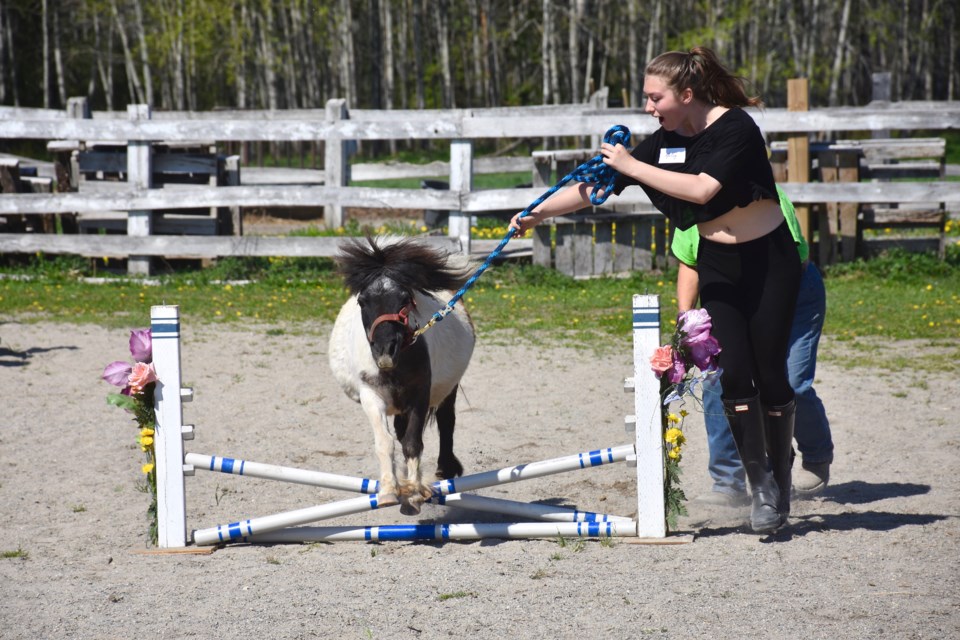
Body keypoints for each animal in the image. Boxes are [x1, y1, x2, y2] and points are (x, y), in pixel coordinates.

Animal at [330, 235, 476, 516]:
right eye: (363, 301)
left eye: (405, 298)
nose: (385, 350)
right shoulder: (371, 396)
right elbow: (385, 442)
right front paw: (389, 490)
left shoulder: (420, 395)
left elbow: (412, 442)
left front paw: (416, 493)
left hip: (448, 389)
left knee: (446, 422)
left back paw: (444, 469)